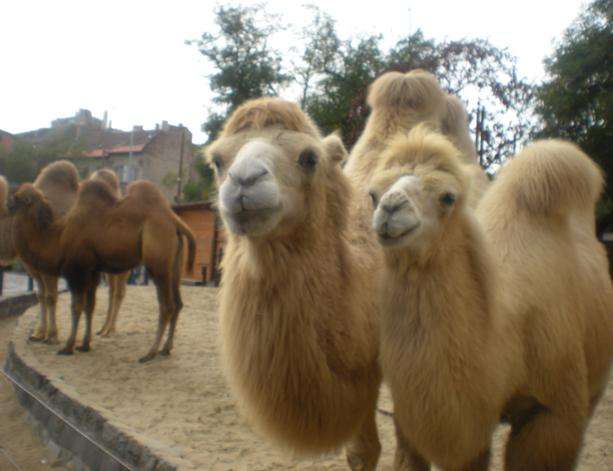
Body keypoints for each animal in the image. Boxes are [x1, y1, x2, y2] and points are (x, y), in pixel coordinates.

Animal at [10, 179, 195, 364]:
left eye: (17, 198)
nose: (8, 203)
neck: (58, 239)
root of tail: (176, 222)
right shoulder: (93, 272)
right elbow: (90, 306)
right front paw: (85, 345)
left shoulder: (77, 272)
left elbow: (76, 307)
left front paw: (68, 347)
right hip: (174, 266)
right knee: (178, 303)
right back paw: (166, 349)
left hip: (158, 264)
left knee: (167, 306)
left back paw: (150, 353)